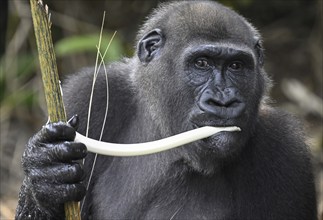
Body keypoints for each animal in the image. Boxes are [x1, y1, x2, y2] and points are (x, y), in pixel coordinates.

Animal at [15, 0, 318, 219]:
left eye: (236, 66)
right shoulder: (88, 94)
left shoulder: (285, 148)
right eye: (202, 63)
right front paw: (45, 176)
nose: (224, 101)